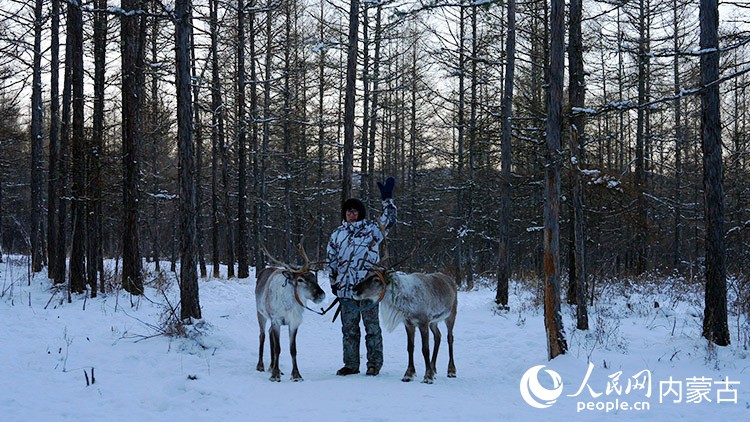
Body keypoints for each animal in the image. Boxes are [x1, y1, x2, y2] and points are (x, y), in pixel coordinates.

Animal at [255, 244, 325, 382]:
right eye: (301, 279)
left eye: (313, 277)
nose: (321, 294)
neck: (290, 305)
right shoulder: (276, 320)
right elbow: (278, 348)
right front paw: (275, 375)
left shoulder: (294, 323)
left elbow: (293, 349)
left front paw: (296, 375)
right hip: (261, 314)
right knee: (262, 335)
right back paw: (261, 366)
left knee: (270, 333)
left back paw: (272, 366)